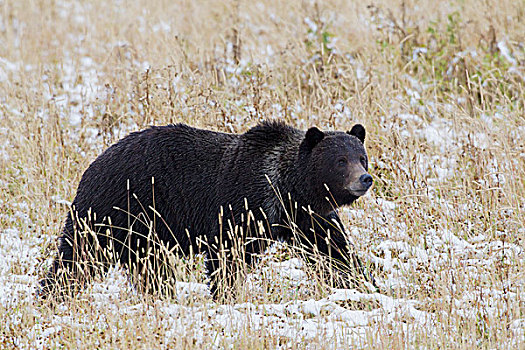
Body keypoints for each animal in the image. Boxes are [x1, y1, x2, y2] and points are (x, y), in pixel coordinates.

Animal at [41, 121, 374, 300]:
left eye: (361, 156)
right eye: (340, 161)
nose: (365, 179)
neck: (284, 188)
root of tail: (92, 165)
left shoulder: (307, 217)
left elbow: (334, 250)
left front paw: (360, 284)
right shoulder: (241, 205)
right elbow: (227, 256)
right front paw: (226, 294)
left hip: (142, 233)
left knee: (151, 269)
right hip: (115, 210)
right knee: (78, 254)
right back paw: (50, 295)